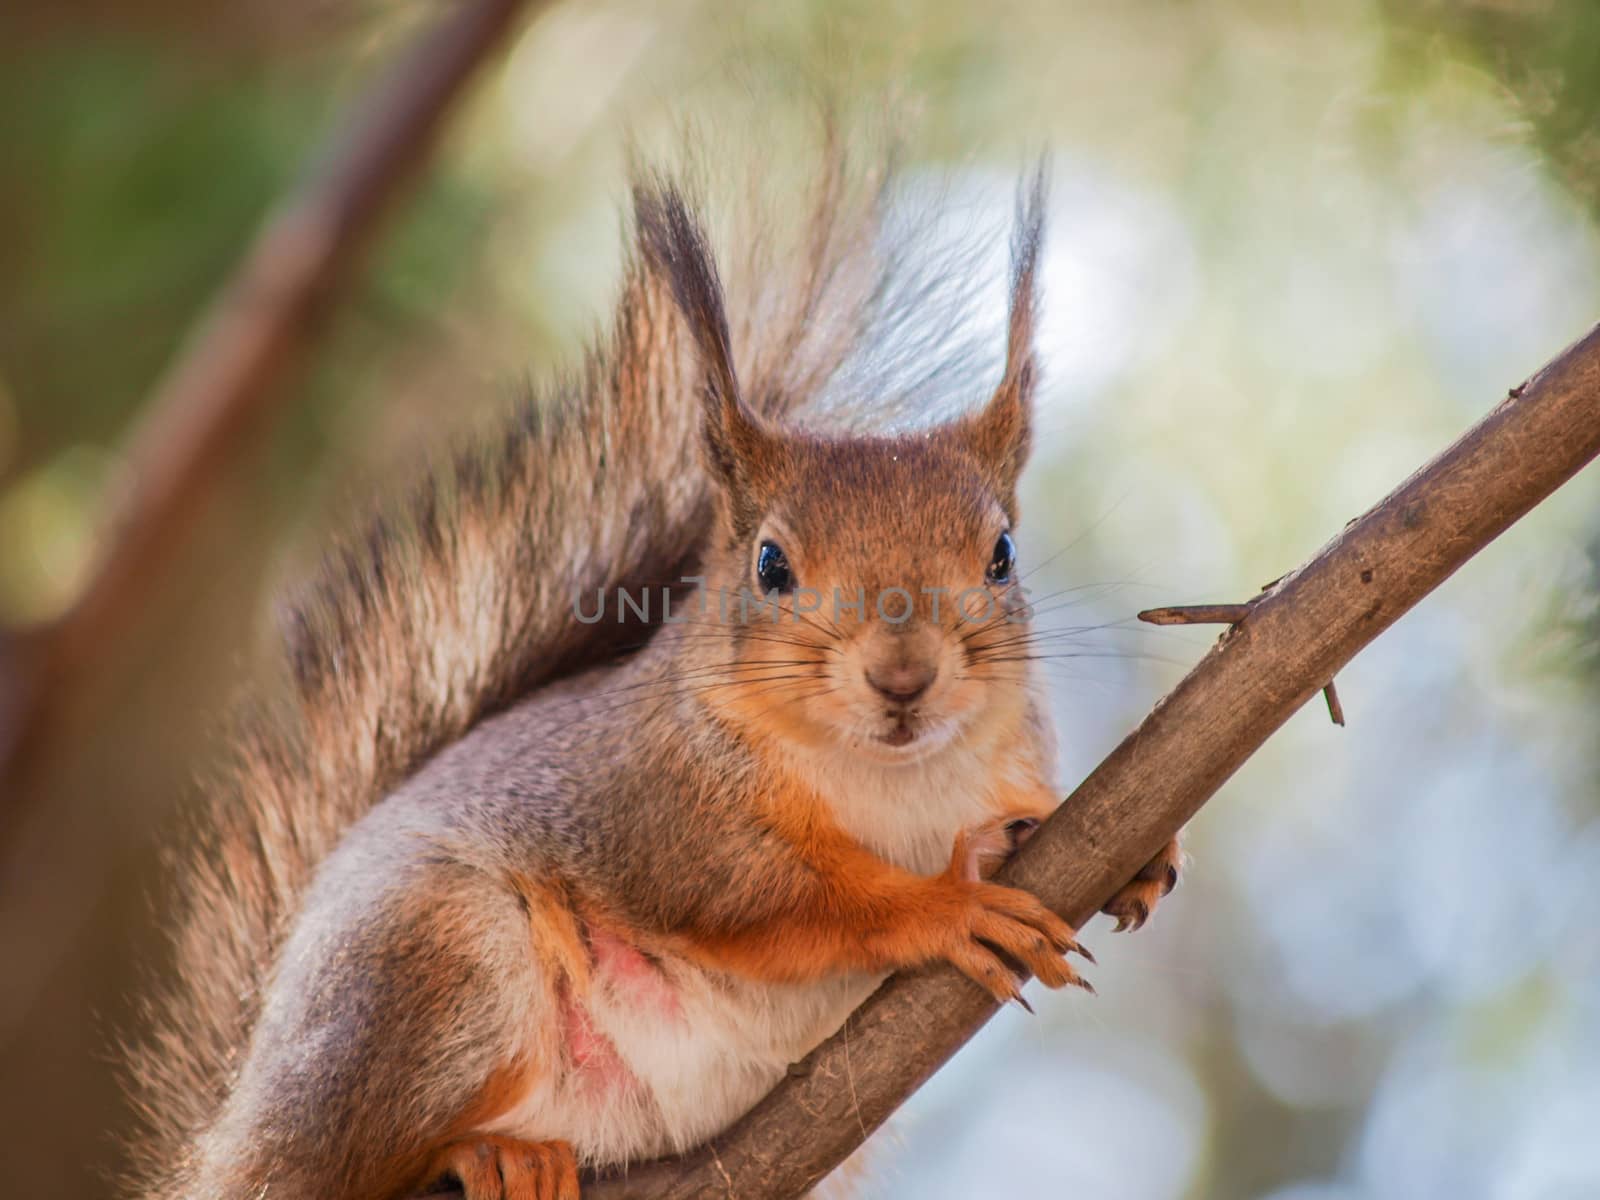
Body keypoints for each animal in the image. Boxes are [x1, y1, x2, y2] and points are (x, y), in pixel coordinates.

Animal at [124, 143, 1184, 1200]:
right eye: (770, 564)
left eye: (1001, 555)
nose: (903, 676)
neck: (895, 772)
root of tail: (235, 1130)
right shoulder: (658, 810)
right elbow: (781, 900)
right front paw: (943, 903)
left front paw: (1133, 850)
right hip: (436, 960)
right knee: (344, 1162)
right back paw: (488, 1151)